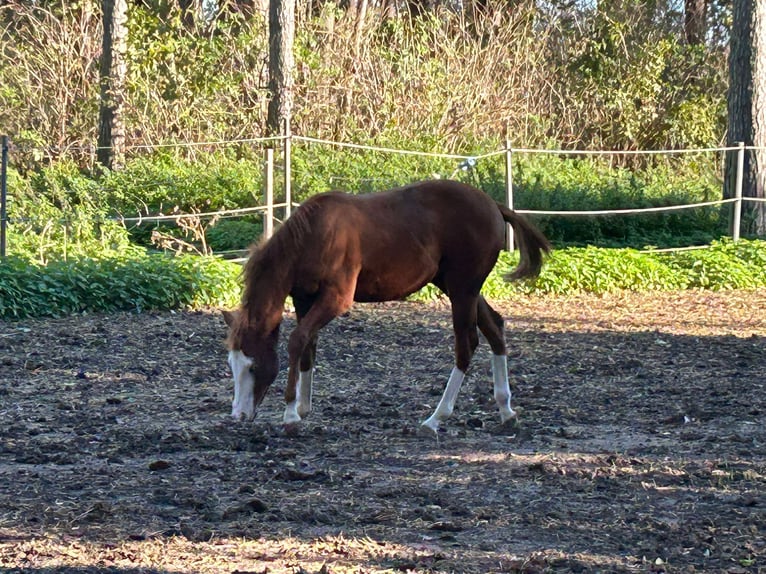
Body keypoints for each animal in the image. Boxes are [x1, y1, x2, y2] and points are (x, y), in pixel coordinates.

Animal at [222, 180, 552, 432]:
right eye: (231, 365)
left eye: (252, 367)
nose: (238, 415)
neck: (313, 236)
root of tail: (494, 205)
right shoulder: (304, 299)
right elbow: (307, 347)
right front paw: (302, 407)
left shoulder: (336, 299)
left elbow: (296, 340)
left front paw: (291, 413)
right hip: (460, 288)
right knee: (495, 328)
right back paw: (506, 410)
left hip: (462, 289)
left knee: (467, 344)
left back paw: (436, 418)